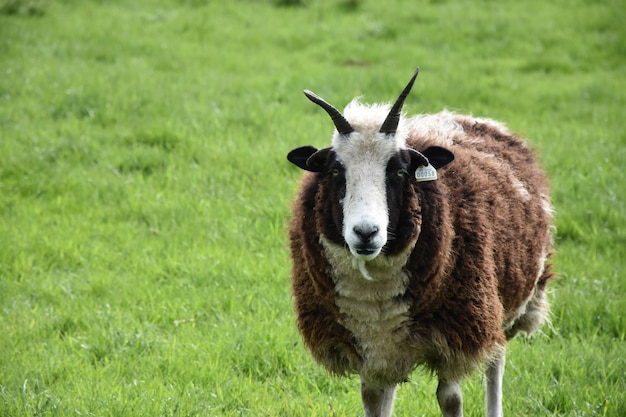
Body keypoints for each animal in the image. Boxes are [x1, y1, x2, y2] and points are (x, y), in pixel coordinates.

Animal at [286, 66, 552, 414]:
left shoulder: (456, 334)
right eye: (334, 172)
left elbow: (450, 399)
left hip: (507, 305)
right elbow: (373, 399)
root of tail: (461, 116)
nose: (366, 233)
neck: (375, 296)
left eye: (399, 172)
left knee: (496, 361)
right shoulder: (370, 349)